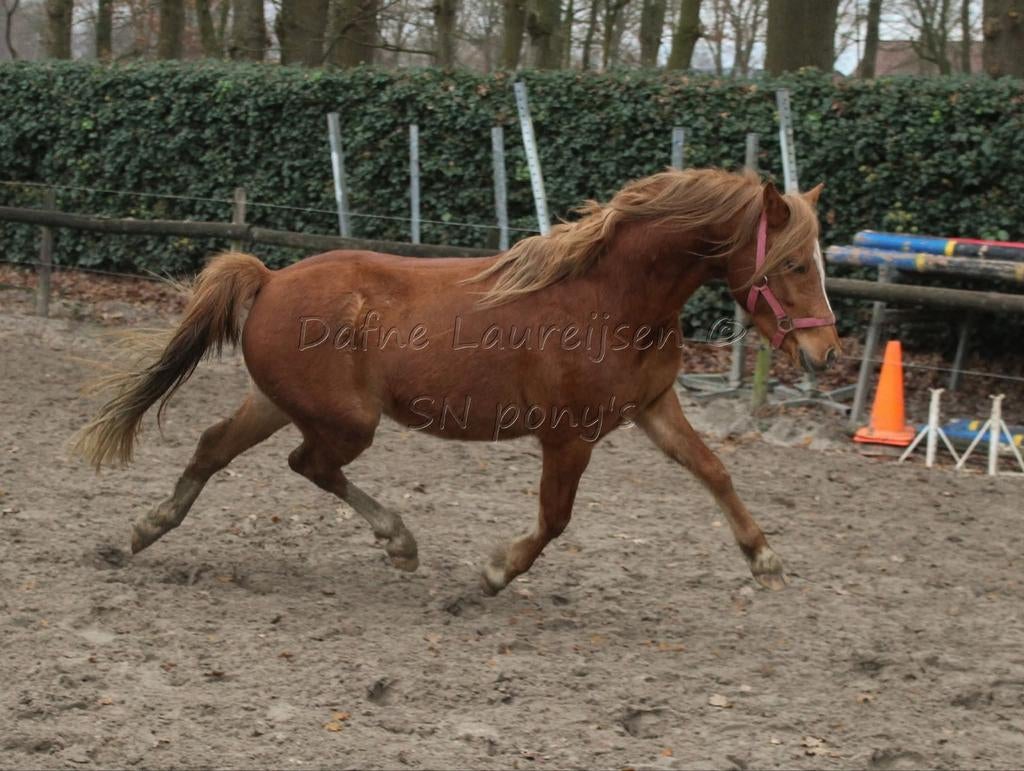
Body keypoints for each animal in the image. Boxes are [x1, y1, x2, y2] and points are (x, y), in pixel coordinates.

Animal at [74, 167, 839, 596]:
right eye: (795, 263)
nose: (827, 351)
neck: (608, 297)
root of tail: (268, 278)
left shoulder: (653, 406)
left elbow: (713, 469)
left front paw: (765, 559)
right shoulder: (568, 437)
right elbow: (555, 519)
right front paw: (495, 573)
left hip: (276, 401)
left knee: (214, 445)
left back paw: (143, 531)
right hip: (346, 420)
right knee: (307, 465)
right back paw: (400, 541)